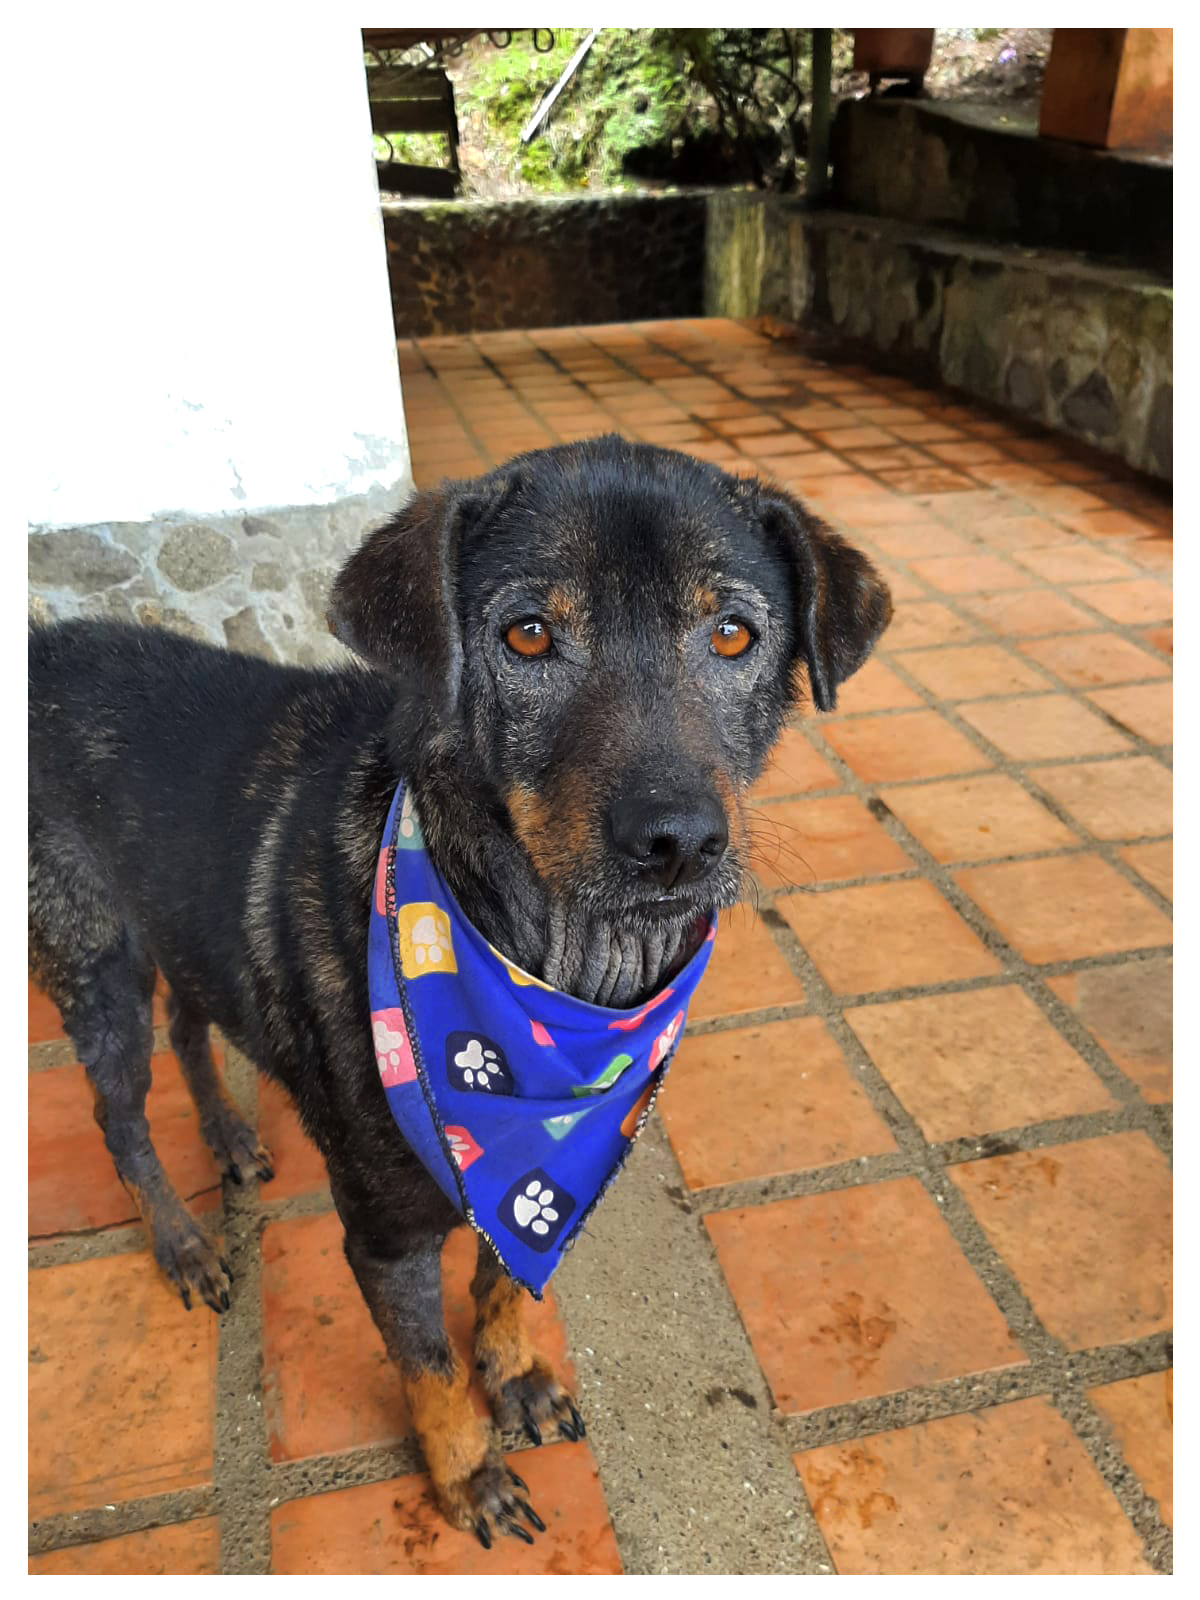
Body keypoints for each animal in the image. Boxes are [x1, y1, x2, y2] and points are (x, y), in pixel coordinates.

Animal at [28, 436, 891, 1545]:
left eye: (734, 633)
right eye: (526, 635)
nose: (680, 843)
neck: (555, 976)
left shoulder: (549, 1186)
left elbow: (503, 1285)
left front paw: (514, 1377)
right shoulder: (383, 1235)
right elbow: (428, 1365)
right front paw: (466, 1471)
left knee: (191, 1022)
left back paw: (225, 1135)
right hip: (95, 963)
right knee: (120, 1114)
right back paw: (179, 1240)